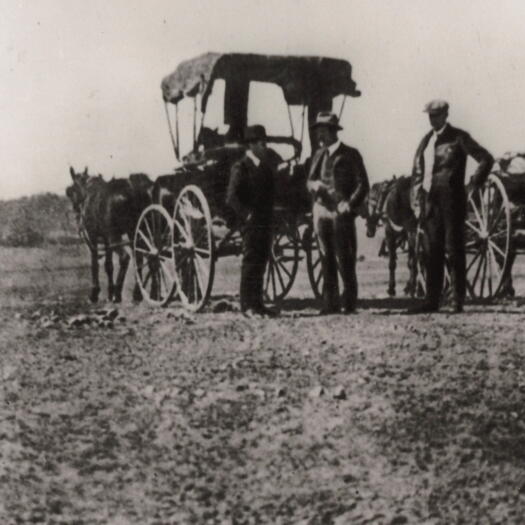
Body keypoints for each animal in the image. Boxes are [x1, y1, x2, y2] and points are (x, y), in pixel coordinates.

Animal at [66, 166, 151, 300]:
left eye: (70, 191)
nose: (75, 209)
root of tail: (131, 192)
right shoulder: (106, 239)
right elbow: (109, 265)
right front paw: (110, 291)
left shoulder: (93, 236)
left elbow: (94, 263)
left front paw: (95, 291)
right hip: (135, 232)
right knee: (140, 258)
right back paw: (137, 293)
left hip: (115, 236)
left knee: (125, 257)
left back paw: (118, 292)